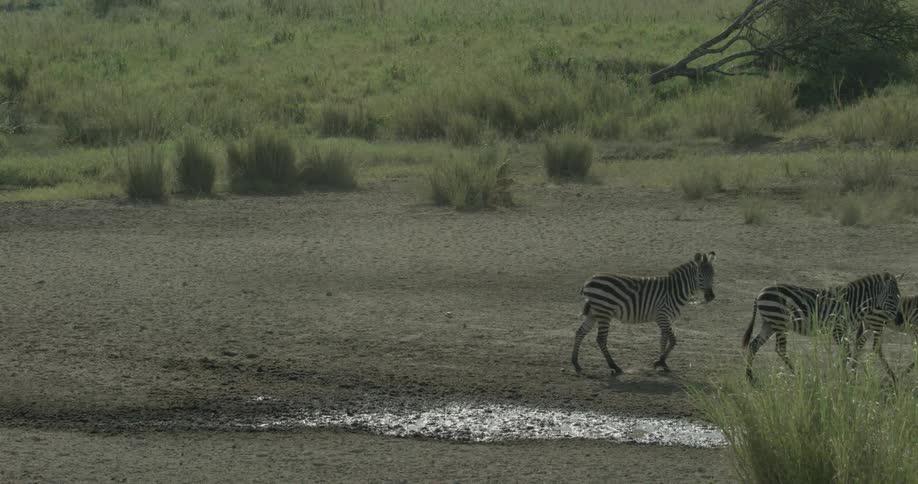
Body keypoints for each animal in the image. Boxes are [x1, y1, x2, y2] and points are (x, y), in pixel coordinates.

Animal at [571, 252, 717, 376]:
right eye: (700, 276)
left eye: (713, 275)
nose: (711, 297)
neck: (675, 290)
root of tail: (588, 281)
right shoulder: (662, 315)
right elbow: (673, 340)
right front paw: (660, 361)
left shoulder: (665, 317)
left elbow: (663, 340)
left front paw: (662, 363)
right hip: (604, 312)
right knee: (600, 339)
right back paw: (614, 366)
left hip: (594, 313)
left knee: (580, 332)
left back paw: (576, 363)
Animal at [741, 273, 901, 381]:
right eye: (892, 297)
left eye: (899, 296)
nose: (899, 319)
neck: (853, 302)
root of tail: (759, 293)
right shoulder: (837, 328)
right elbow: (846, 352)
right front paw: (845, 378)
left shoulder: (844, 330)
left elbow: (847, 352)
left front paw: (843, 375)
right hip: (779, 321)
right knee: (780, 349)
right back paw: (798, 375)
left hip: (770, 323)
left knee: (754, 345)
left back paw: (750, 377)